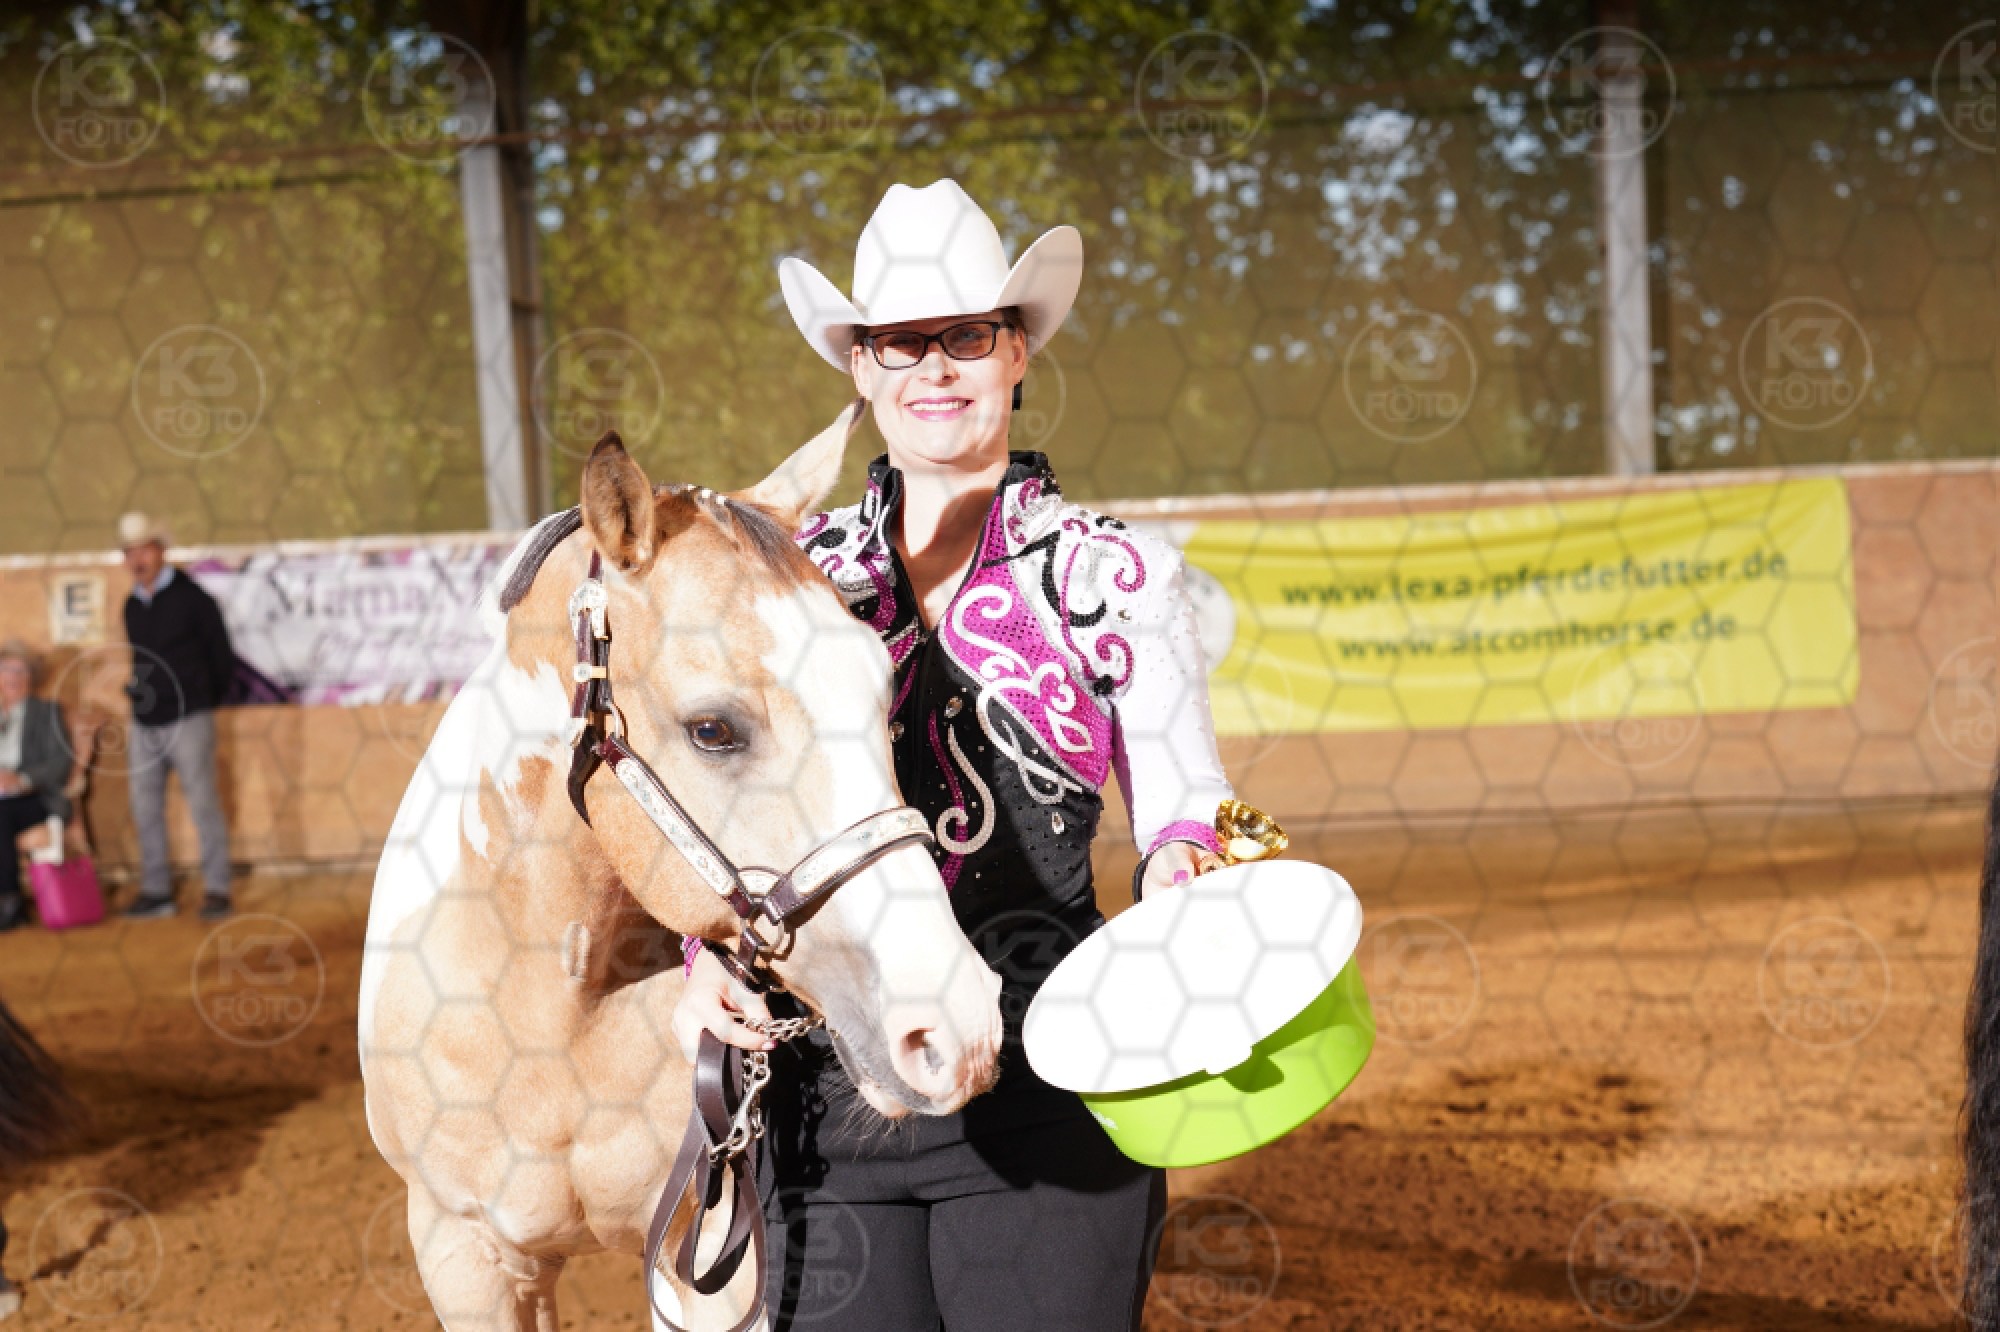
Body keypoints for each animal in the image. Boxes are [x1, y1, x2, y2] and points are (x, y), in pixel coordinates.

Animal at [358, 404, 1004, 1331]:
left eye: (883, 690)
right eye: (712, 729)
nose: (958, 1025)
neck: (553, 1015)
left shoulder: (717, 1267)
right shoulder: (467, 1256)